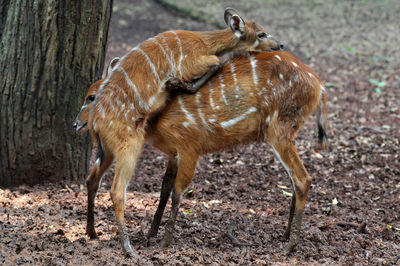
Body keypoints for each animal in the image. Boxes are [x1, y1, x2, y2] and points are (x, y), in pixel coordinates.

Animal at [75, 50, 328, 256]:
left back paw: (290, 246)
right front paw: (151, 233)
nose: (76, 124)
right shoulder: (174, 153)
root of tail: (319, 86)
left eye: (91, 96)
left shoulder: (190, 146)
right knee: (294, 180)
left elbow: (178, 191)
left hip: (279, 129)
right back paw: (285, 236)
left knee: (303, 179)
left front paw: (164, 241)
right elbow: (164, 188)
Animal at [76, 8, 282, 256]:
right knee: (117, 191)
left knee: (91, 178)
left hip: (106, 149)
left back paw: (92, 232)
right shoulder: (193, 62)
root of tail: (96, 122)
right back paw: (128, 248)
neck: (204, 42)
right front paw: (176, 83)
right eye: (261, 33)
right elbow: (215, 62)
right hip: (128, 145)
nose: (280, 44)